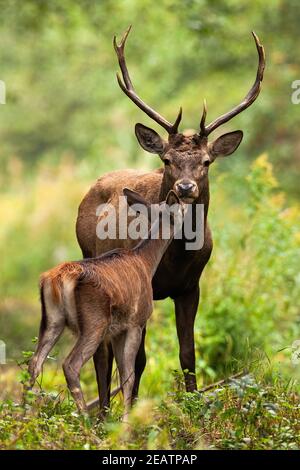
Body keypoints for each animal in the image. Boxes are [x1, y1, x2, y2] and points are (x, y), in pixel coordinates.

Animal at [28, 189, 183, 416]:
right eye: (182, 209)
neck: (147, 263)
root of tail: (57, 279)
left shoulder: (117, 330)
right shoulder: (136, 322)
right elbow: (128, 375)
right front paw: (127, 420)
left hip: (52, 319)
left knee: (34, 363)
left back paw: (24, 414)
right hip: (95, 321)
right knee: (70, 364)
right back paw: (84, 417)